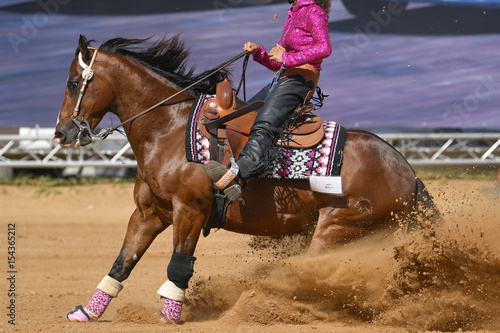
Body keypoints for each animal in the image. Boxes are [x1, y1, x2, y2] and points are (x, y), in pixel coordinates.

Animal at [53, 35, 434, 322]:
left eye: (73, 83)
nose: (61, 133)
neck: (168, 129)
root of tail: (407, 172)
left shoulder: (190, 210)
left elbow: (179, 264)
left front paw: (170, 315)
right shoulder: (149, 213)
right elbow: (122, 262)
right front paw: (87, 312)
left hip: (338, 227)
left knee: (313, 271)